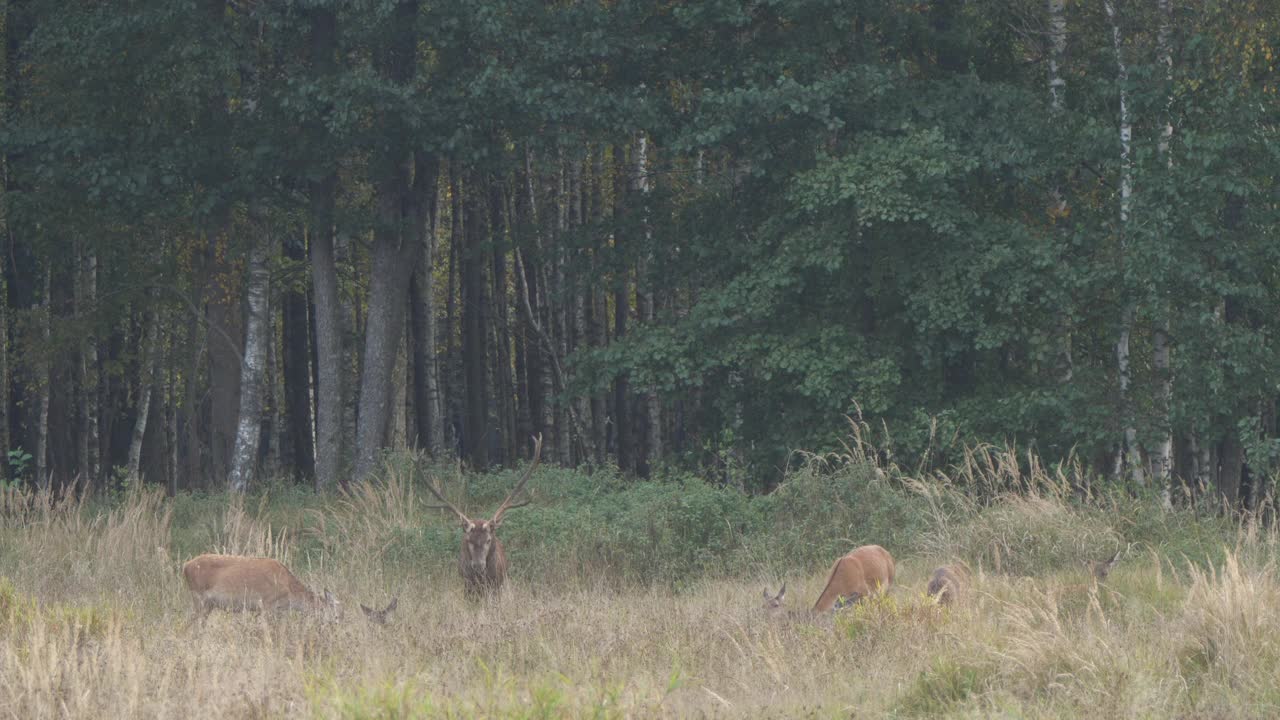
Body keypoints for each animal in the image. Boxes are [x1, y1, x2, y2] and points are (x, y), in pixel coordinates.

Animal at [427, 430, 542, 594]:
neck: (481, 580)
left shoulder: (497, 585)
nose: (478, 566)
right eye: (469, 540)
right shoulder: (467, 586)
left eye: (488, 540)